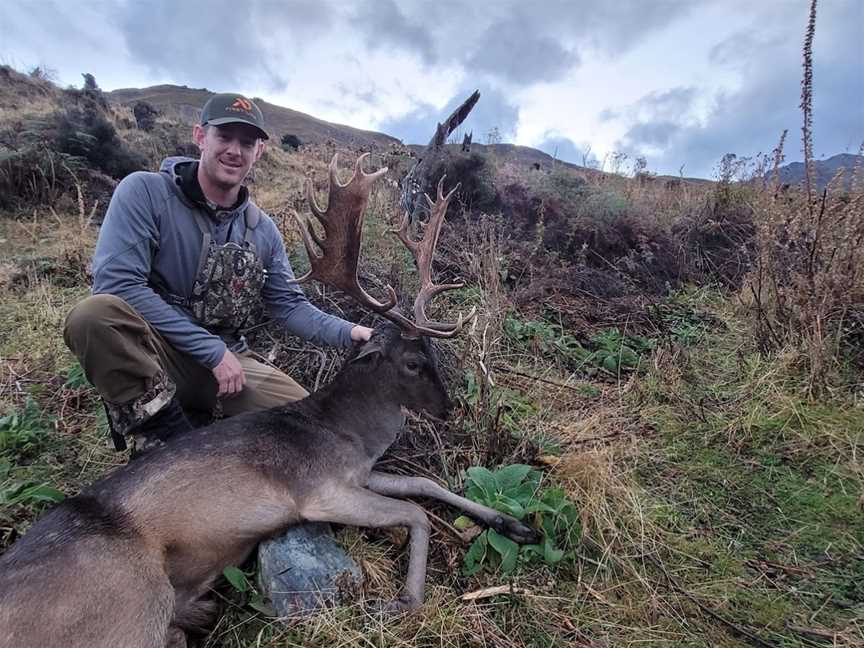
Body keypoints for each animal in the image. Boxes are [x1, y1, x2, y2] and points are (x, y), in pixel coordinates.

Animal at [0, 156, 540, 648]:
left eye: (431, 354)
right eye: (412, 362)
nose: (449, 408)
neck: (346, 431)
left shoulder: (359, 472)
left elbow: (426, 484)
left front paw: (516, 525)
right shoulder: (319, 490)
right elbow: (416, 514)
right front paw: (404, 600)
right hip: (130, 603)